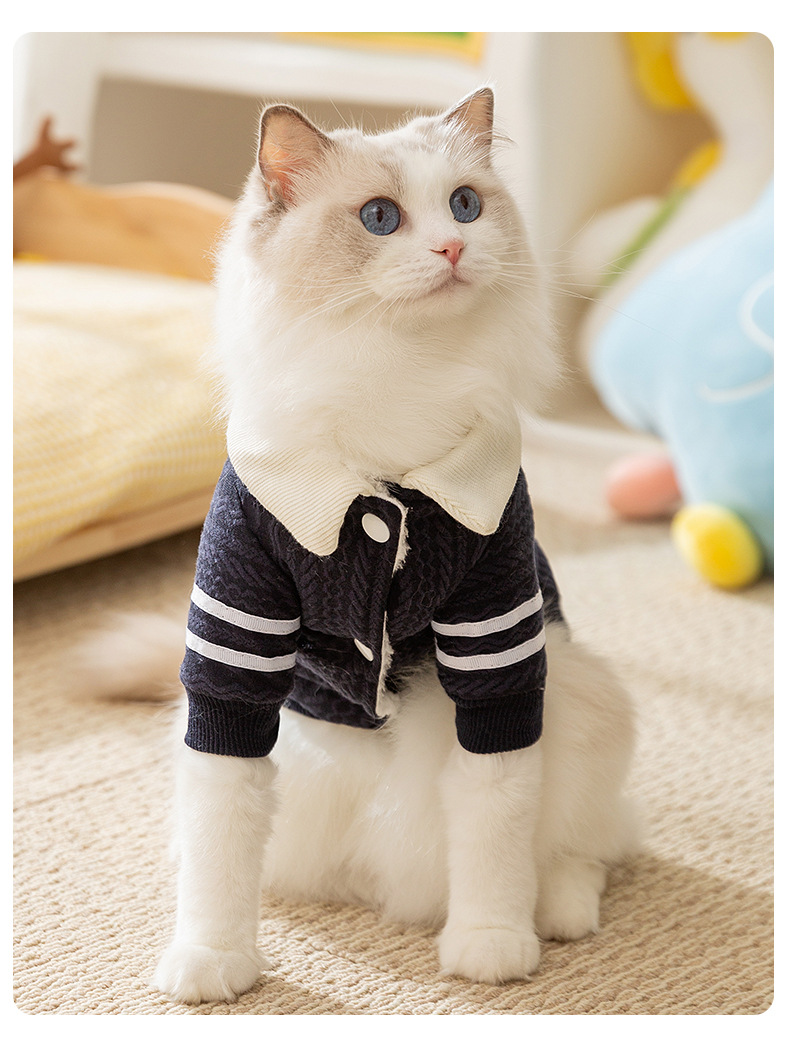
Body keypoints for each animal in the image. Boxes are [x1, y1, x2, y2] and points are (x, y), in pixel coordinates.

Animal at [86, 88, 638, 1004]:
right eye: (380, 217)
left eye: (465, 204)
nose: (453, 246)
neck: (395, 390)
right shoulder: (235, 653)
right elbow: (219, 841)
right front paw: (213, 960)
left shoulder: (495, 649)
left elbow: (496, 825)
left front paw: (490, 944)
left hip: (582, 696)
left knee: (586, 848)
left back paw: (554, 912)